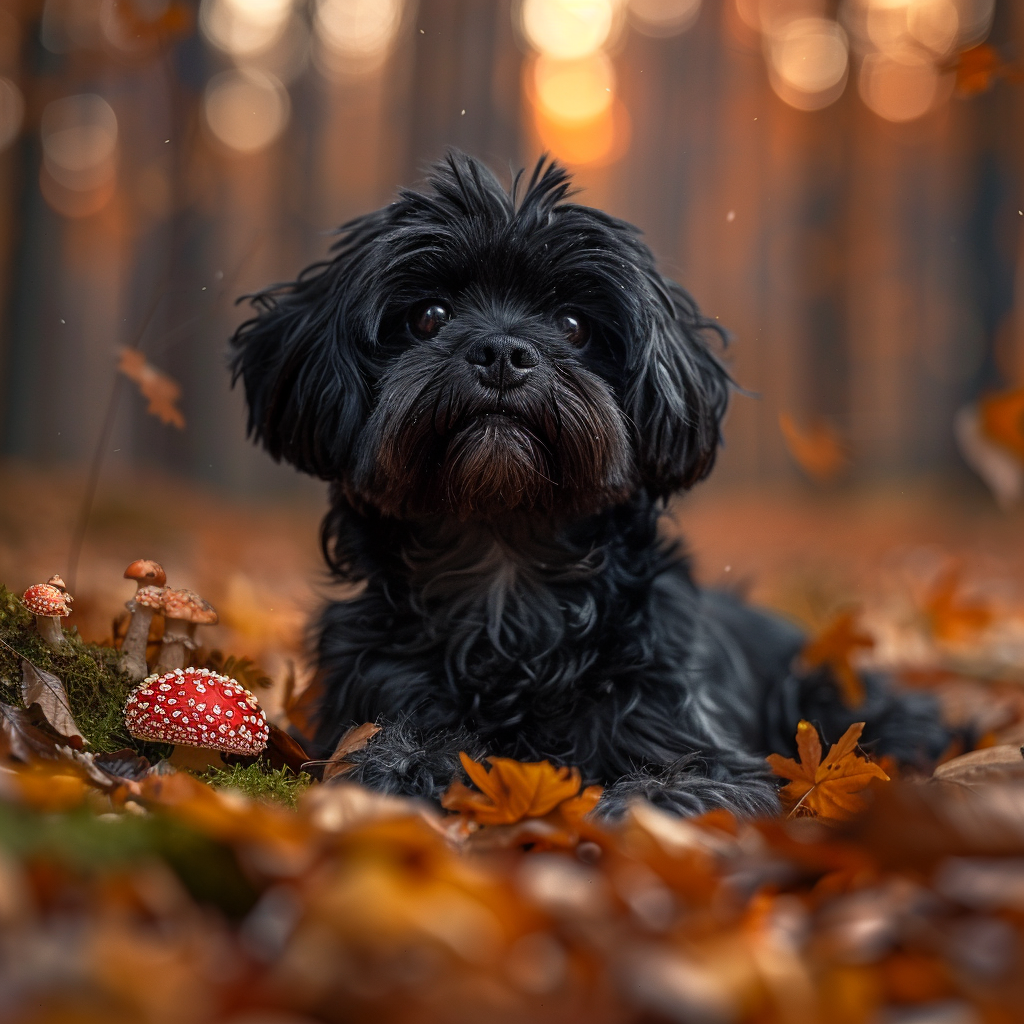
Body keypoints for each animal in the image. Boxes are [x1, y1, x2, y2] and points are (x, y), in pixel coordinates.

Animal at [230, 151, 942, 815]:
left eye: (573, 325)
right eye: (429, 315)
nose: (503, 352)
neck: (504, 574)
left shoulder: (698, 736)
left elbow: (698, 783)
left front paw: (642, 800)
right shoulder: (370, 693)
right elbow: (382, 744)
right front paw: (412, 764)